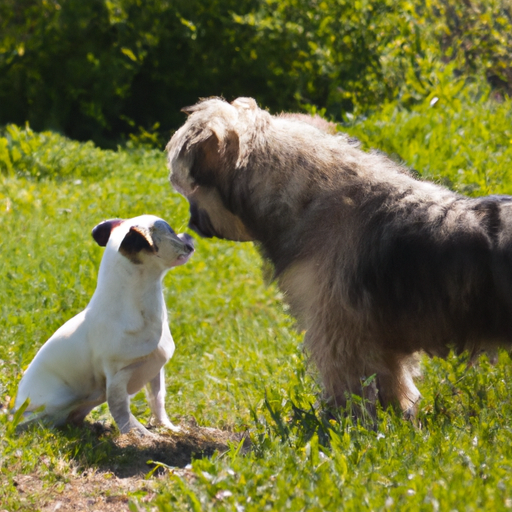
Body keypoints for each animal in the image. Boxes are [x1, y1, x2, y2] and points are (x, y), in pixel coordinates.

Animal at [14, 214, 194, 434]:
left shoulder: (155, 371)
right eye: (171, 231)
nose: (189, 238)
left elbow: (158, 403)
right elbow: (122, 413)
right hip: (58, 400)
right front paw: (141, 436)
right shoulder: (117, 377)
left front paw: (170, 429)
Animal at [166, 96, 512, 416]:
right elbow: (393, 382)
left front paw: (344, 422)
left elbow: (350, 386)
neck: (309, 198)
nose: (191, 223)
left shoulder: (339, 332)